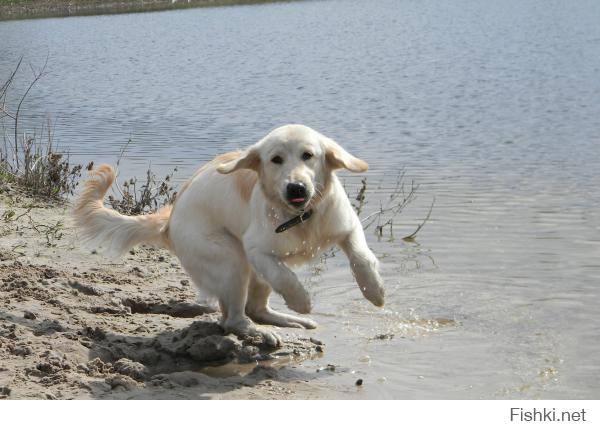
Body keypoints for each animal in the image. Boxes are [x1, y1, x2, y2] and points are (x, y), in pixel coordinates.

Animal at [75, 124, 384, 346]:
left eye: (308, 155)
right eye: (276, 160)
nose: (296, 188)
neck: (300, 216)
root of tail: (169, 222)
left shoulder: (347, 226)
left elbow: (361, 257)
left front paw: (375, 292)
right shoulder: (257, 250)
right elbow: (285, 277)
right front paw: (302, 301)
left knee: (256, 309)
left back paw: (289, 321)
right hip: (232, 261)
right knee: (234, 318)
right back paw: (262, 331)